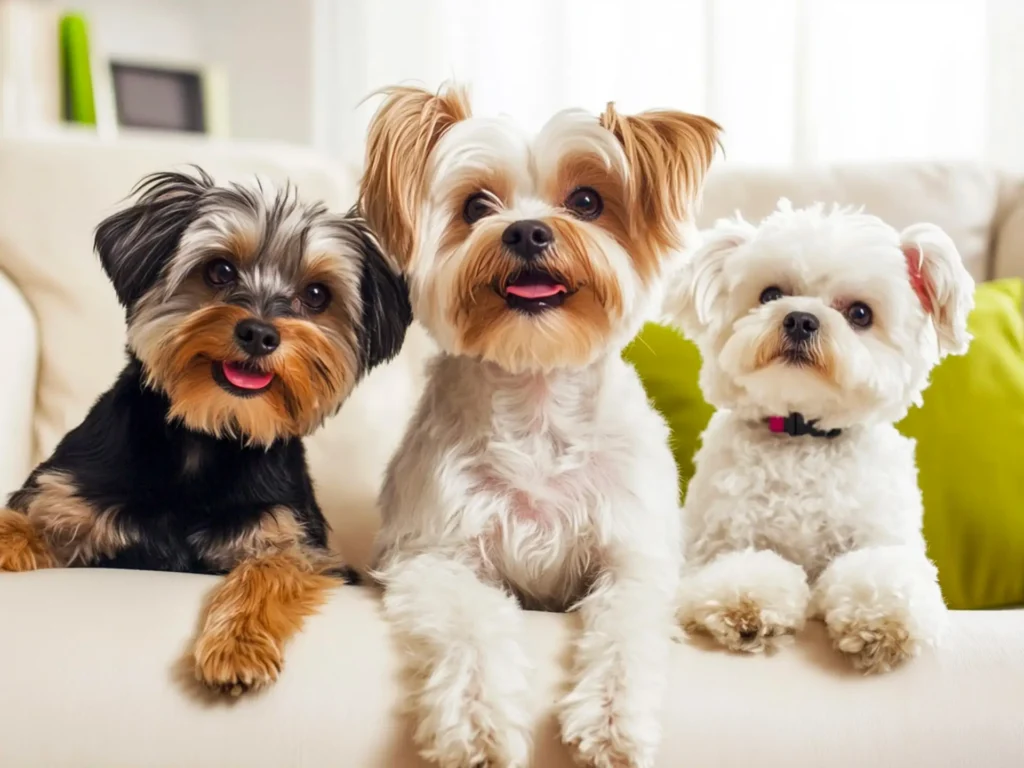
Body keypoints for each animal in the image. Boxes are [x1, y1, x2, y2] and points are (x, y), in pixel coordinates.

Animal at [0, 169, 407, 696]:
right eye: (219, 271)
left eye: (317, 295)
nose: (259, 333)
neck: (207, 435)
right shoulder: (66, 502)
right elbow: (20, 525)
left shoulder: (292, 538)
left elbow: (272, 568)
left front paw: (238, 646)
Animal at [360, 83, 720, 768]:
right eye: (476, 206)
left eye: (586, 201)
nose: (526, 231)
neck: (537, 402)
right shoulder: (436, 555)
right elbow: (472, 626)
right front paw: (478, 725)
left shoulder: (634, 555)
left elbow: (625, 631)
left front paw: (611, 720)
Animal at [667, 201, 970, 675]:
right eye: (770, 295)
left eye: (860, 313)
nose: (801, 318)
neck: (803, 435)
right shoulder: (715, 543)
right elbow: (741, 571)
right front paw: (747, 606)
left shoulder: (883, 537)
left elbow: (883, 572)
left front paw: (881, 621)